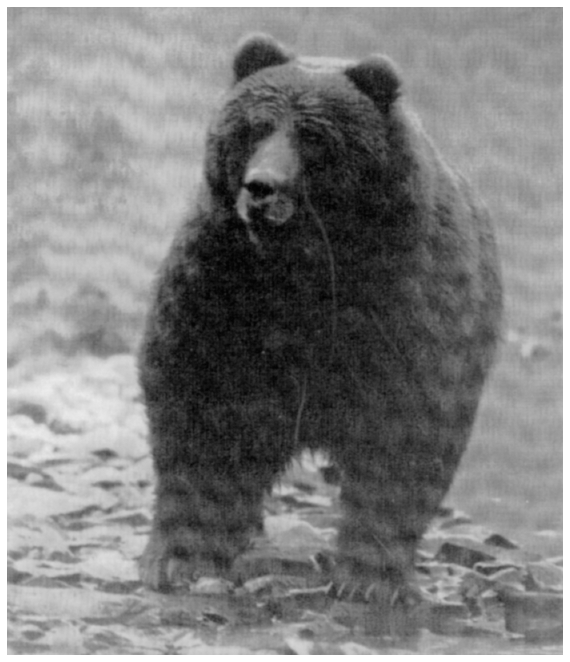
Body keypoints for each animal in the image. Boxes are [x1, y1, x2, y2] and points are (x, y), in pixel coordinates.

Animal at [139, 32, 502, 612]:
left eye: (312, 134)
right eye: (255, 125)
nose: (261, 187)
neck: (301, 268)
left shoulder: (401, 302)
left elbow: (405, 432)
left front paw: (372, 576)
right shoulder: (218, 290)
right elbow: (200, 415)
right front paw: (180, 559)